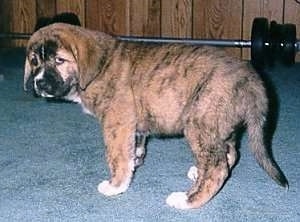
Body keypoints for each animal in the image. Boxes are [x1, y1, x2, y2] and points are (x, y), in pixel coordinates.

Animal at [24, 23, 288, 209]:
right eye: (34, 61)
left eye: (60, 60)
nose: (39, 83)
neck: (97, 67)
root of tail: (251, 78)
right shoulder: (134, 126)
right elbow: (134, 149)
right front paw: (134, 163)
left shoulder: (116, 121)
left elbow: (117, 156)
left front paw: (115, 185)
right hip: (220, 124)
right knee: (230, 153)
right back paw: (197, 172)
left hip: (199, 122)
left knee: (217, 168)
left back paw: (187, 200)